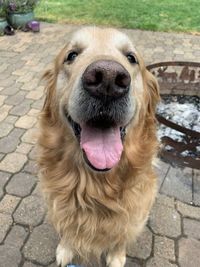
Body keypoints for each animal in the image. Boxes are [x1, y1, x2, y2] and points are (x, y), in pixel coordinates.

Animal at [37, 25, 159, 267]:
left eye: (131, 58)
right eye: (71, 55)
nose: (108, 79)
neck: (96, 187)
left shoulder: (135, 213)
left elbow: (122, 234)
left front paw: (117, 256)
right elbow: (68, 229)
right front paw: (66, 248)